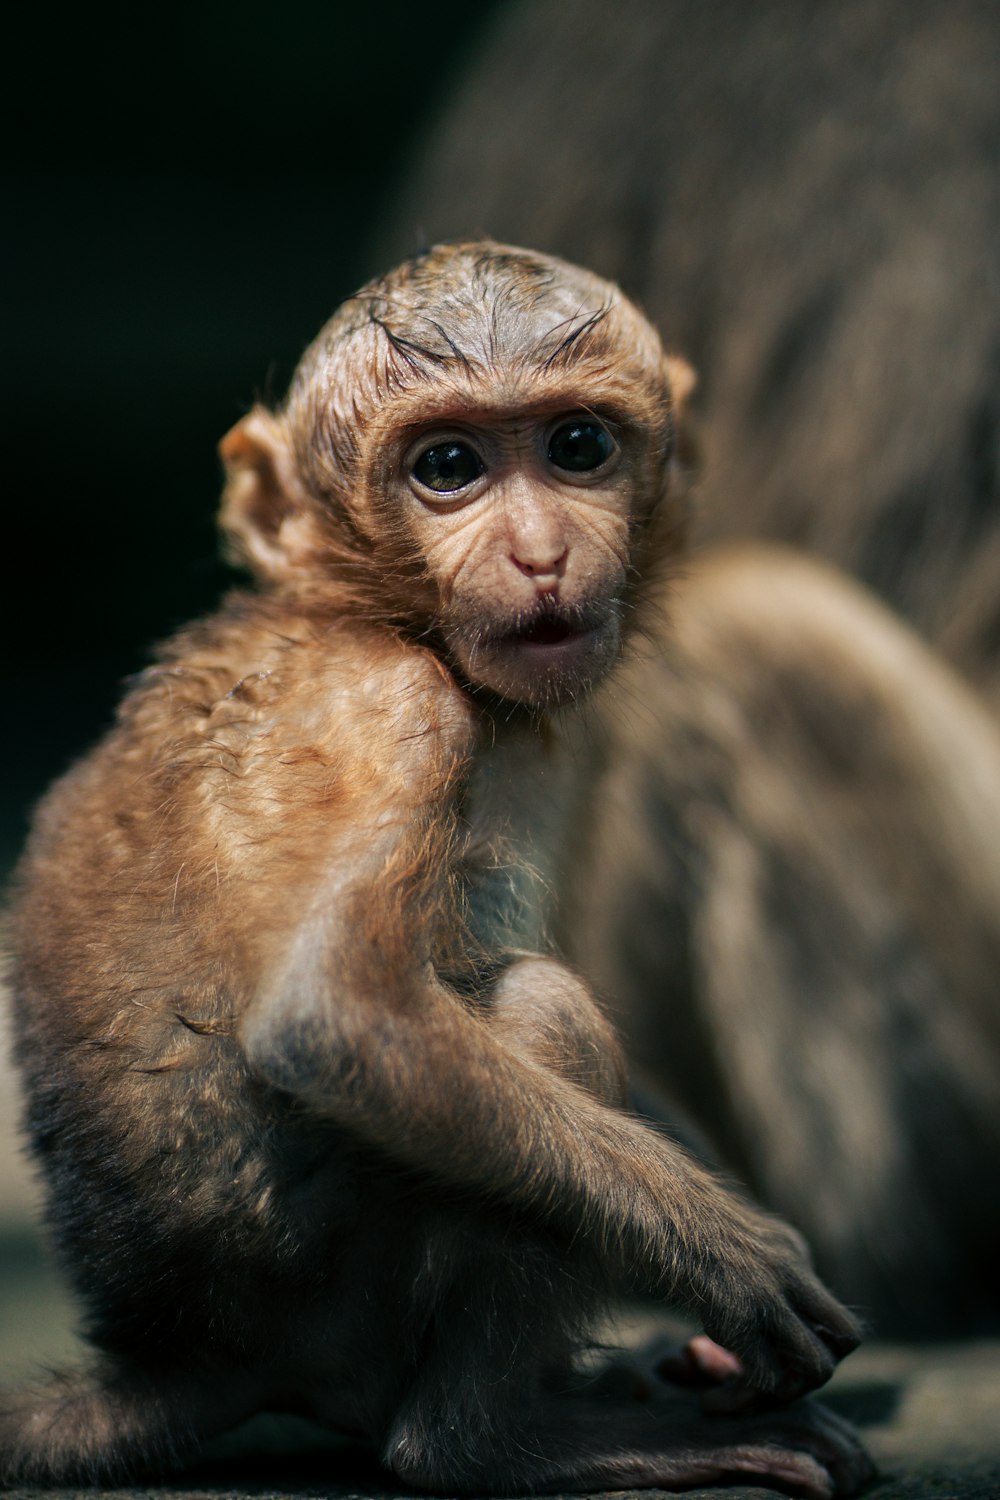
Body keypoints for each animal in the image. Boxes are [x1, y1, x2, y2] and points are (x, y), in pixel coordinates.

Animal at [5, 240, 869, 1494]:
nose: (541, 556)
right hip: (336, 1293)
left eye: (576, 447)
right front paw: (722, 1254)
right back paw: (496, 1440)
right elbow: (333, 1019)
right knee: (542, 1011)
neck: (367, 614)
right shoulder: (387, 708)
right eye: (448, 467)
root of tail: (182, 1353)